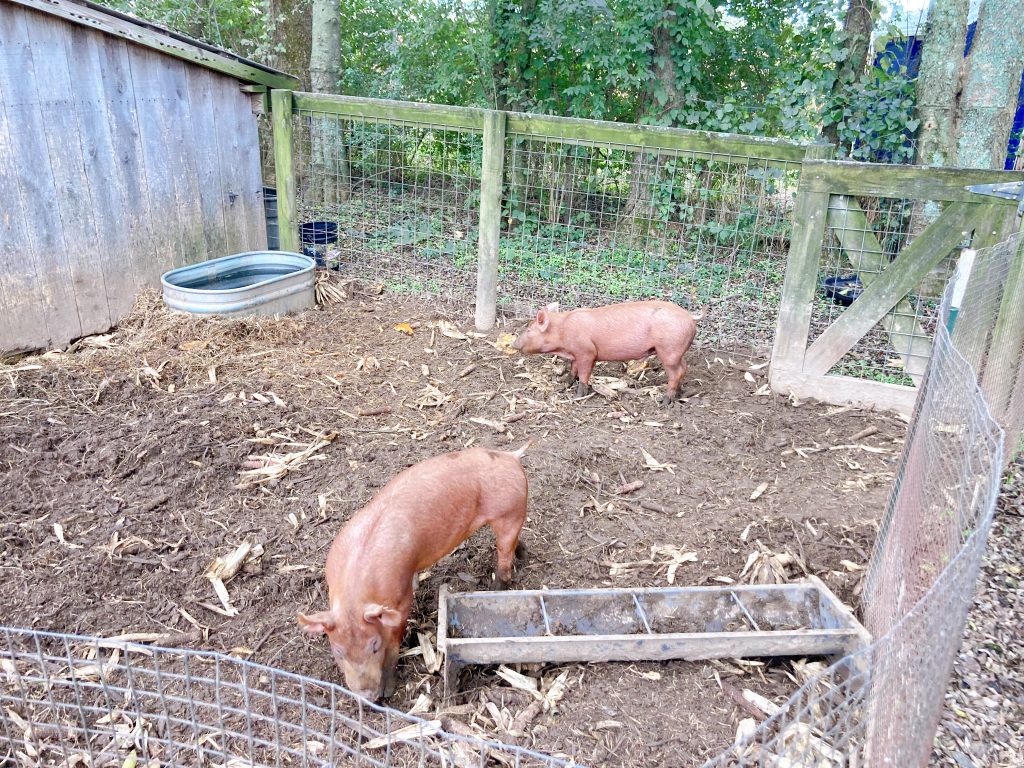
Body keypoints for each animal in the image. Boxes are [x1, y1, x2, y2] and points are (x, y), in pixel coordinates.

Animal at [296, 444, 528, 704]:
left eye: (374, 645)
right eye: (337, 651)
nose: (367, 696)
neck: (355, 597)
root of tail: (510, 457)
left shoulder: (400, 599)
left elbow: (394, 644)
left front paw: (388, 691)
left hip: (509, 513)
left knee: (504, 558)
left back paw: (495, 588)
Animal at [516, 296, 700, 405]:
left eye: (529, 330)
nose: (514, 344)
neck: (562, 332)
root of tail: (690, 317)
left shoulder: (587, 352)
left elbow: (584, 374)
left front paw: (578, 396)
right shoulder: (576, 354)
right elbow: (573, 370)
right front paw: (563, 385)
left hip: (668, 350)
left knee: (675, 373)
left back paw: (664, 402)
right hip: (677, 352)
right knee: (684, 368)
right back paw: (681, 393)